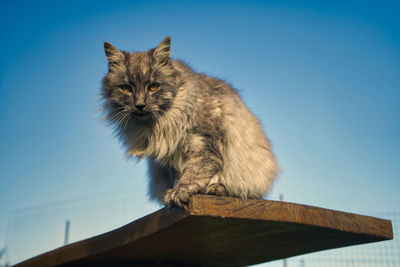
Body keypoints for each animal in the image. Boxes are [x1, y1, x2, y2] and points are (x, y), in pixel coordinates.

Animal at [101, 36, 280, 210]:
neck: (163, 123)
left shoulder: (204, 147)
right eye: (126, 89)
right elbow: (178, 177)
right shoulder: (169, 159)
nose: (140, 105)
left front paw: (180, 192)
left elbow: (193, 174)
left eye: (153, 87)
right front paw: (171, 195)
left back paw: (216, 189)